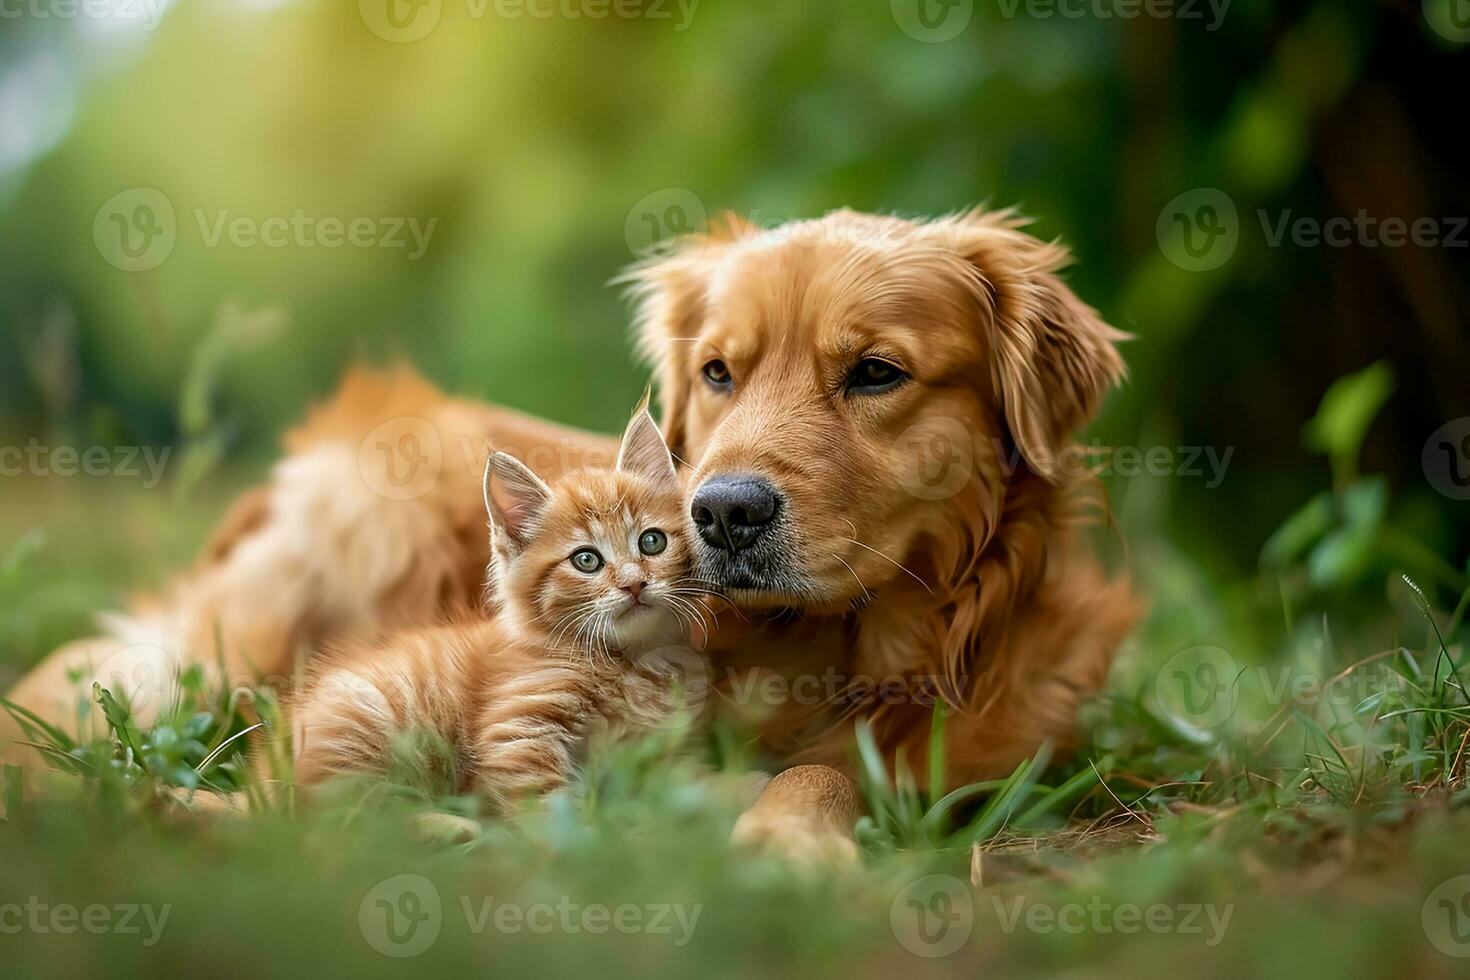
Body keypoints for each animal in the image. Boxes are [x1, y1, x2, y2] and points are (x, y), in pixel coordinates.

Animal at [289, 411, 702, 811]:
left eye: (652, 542)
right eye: (586, 560)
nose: (634, 584)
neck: (631, 661)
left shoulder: (665, 745)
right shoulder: (516, 729)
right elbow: (549, 808)